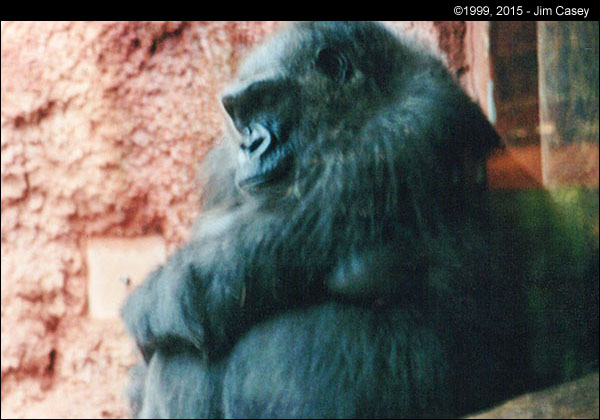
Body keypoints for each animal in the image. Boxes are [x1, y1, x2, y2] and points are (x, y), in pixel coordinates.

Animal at [122, 21, 524, 418]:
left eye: (268, 99)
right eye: (239, 113)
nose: (249, 145)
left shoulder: (397, 136)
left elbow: (195, 283)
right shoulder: (224, 169)